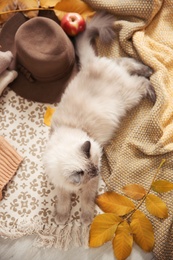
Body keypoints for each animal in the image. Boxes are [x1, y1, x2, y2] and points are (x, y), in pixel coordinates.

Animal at [43, 11, 155, 224]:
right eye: (91, 170)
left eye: (96, 168)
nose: (96, 172)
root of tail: (89, 65)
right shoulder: (61, 184)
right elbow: (63, 199)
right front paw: (62, 217)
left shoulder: (90, 185)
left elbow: (86, 201)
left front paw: (86, 219)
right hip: (121, 78)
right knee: (124, 63)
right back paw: (147, 70)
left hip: (129, 95)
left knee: (141, 80)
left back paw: (151, 83)